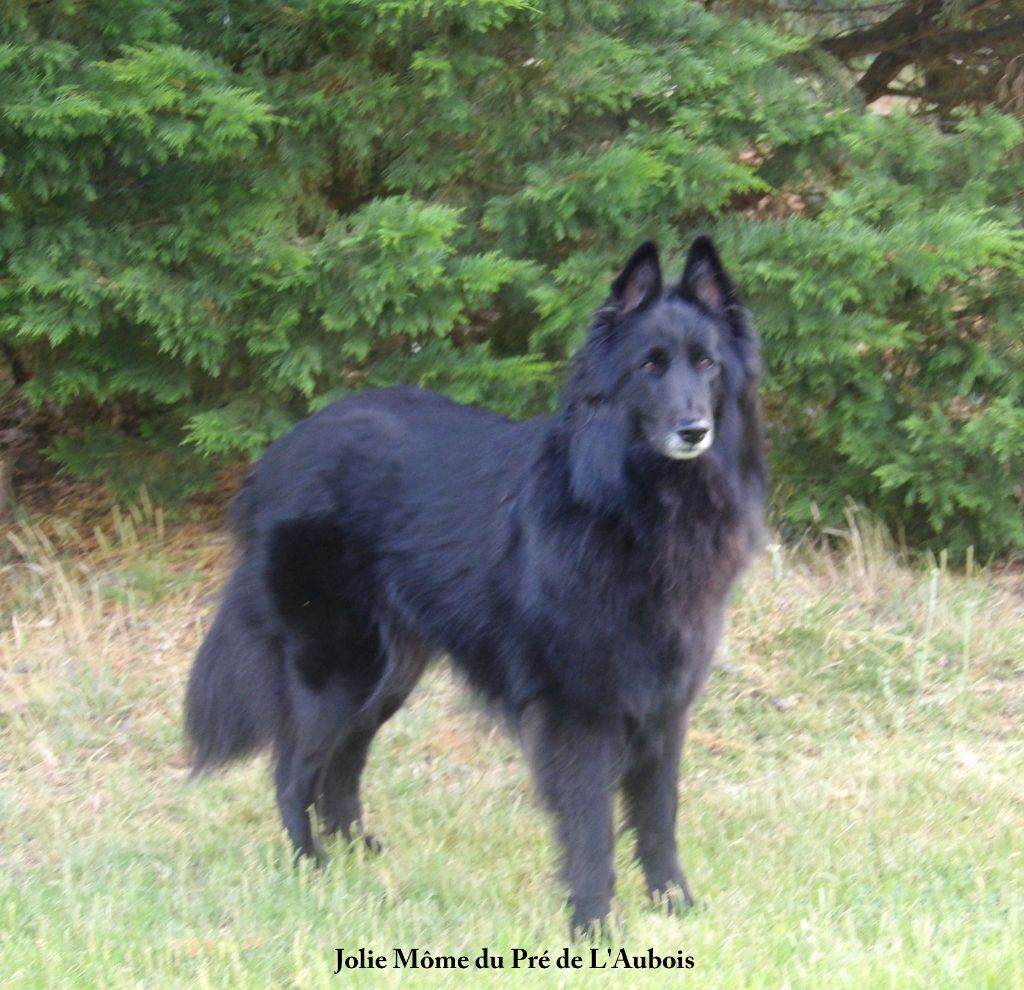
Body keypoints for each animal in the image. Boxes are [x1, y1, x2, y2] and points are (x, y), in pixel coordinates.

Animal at [184, 236, 765, 933]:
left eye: (707, 364)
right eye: (649, 368)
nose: (693, 429)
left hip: (388, 675)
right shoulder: (580, 709)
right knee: (292, 770)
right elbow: (591, 826)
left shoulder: (665, 702)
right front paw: (593, 923)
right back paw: (311, 869)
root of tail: (277, 456)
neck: (630, 503)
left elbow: (658, 815)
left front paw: (674, 903)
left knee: (342, 765)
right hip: (339, 669)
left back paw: (356, 853)